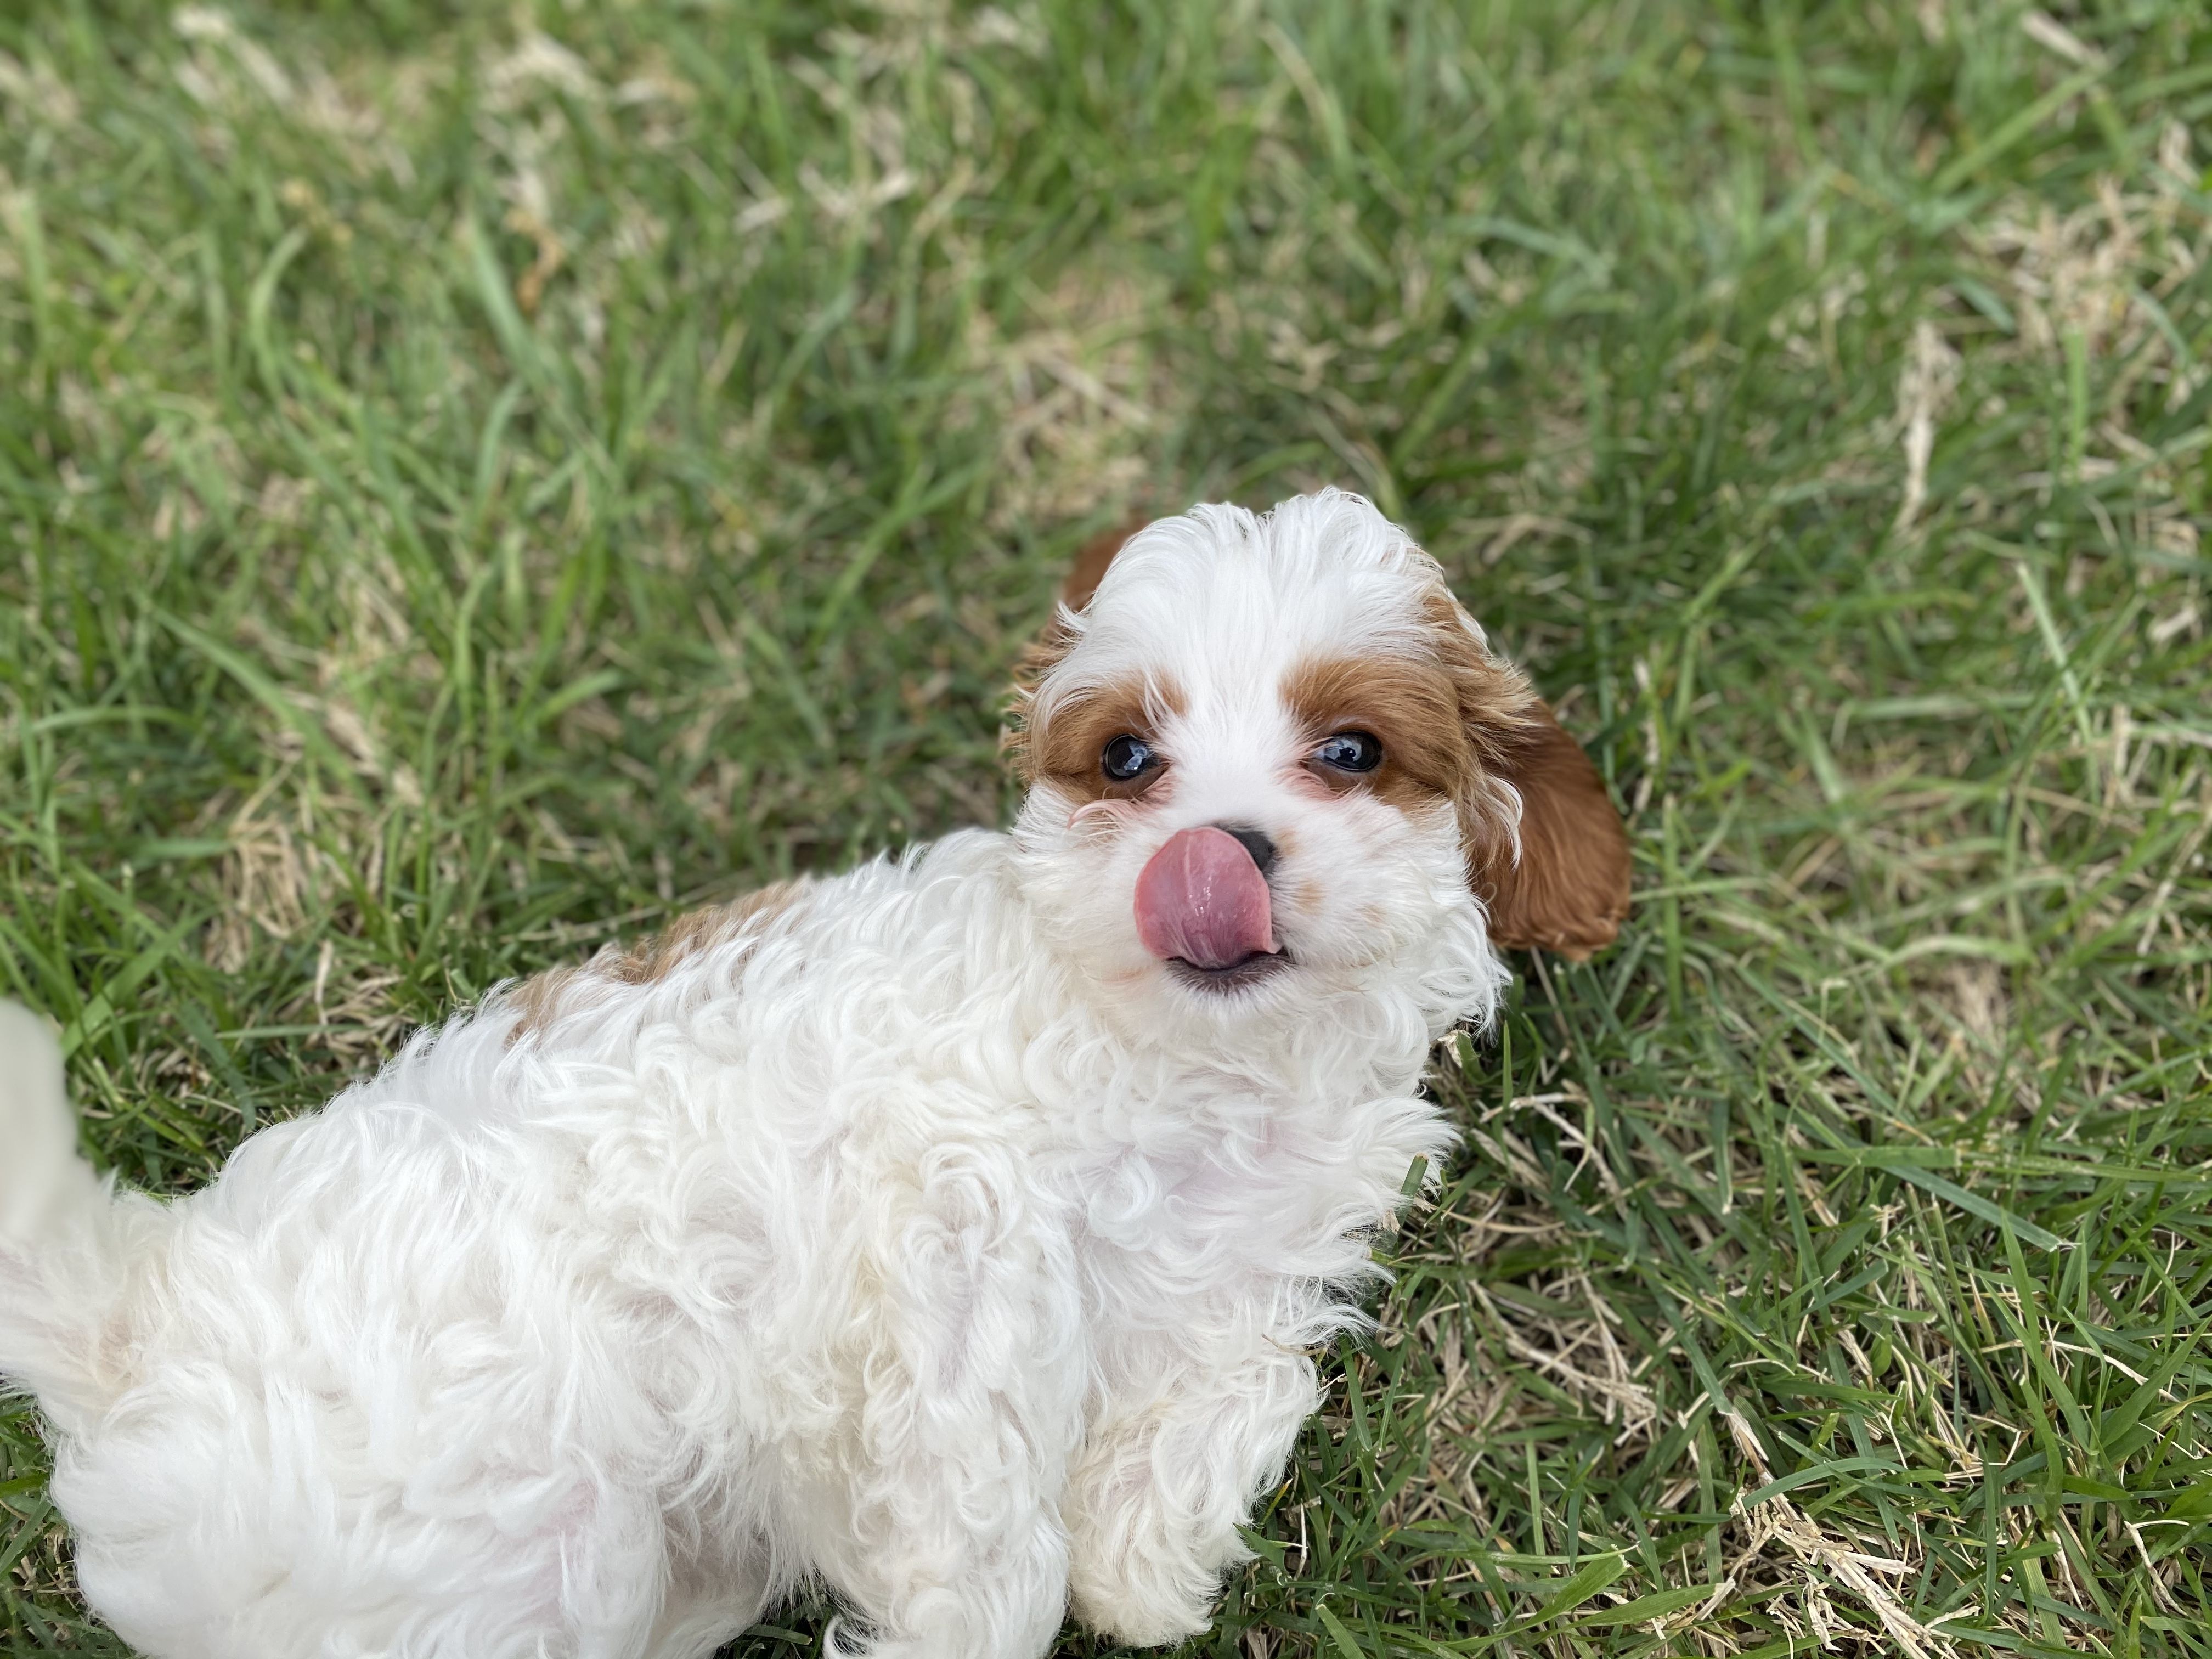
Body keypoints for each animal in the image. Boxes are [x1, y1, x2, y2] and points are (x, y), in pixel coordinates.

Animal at [0, 493, 1628, 1659]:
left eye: (1352, 750)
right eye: (1127, 761)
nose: (1212, 858)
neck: (1192, 1063)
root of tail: (127, 1311)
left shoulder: (1261, 1265)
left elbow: (1240, 1389)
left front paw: (1144, 1568)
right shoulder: (949, 1218)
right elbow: (983, 1471)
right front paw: (978, 1615)